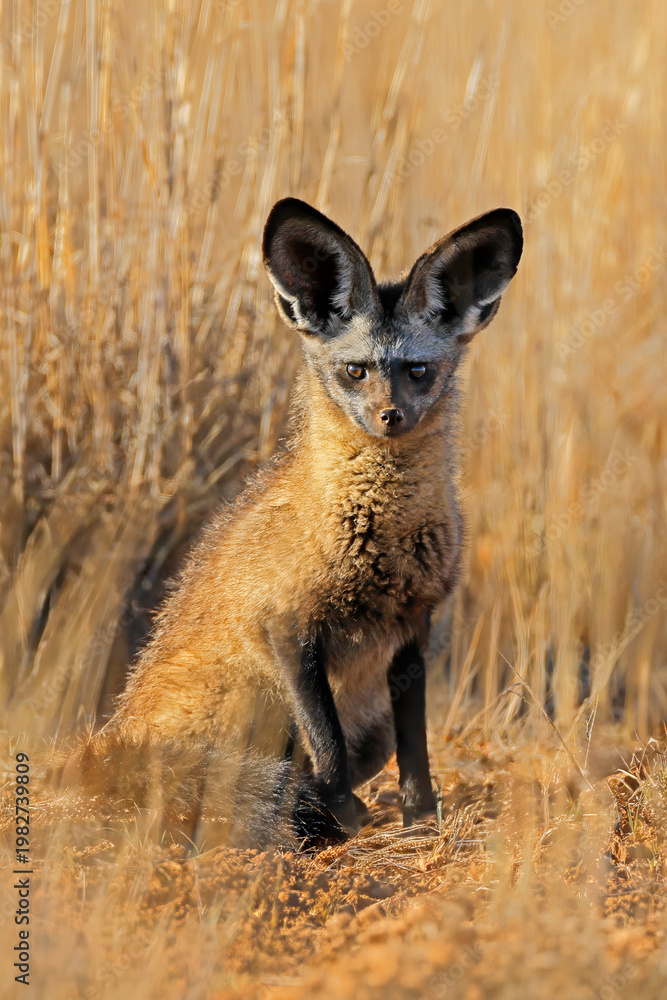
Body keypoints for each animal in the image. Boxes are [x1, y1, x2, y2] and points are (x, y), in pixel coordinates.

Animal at [78, 198, 523, 843]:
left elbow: (416, 748)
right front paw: (344, 819)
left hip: (366, 718)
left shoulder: (413, 629)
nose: (391, 417)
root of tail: (105, 741)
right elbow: (325, 741)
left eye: (417, 371)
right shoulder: (288, 628)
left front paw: (418, 818)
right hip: (255, 696)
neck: (378, 537)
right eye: (356, 371)